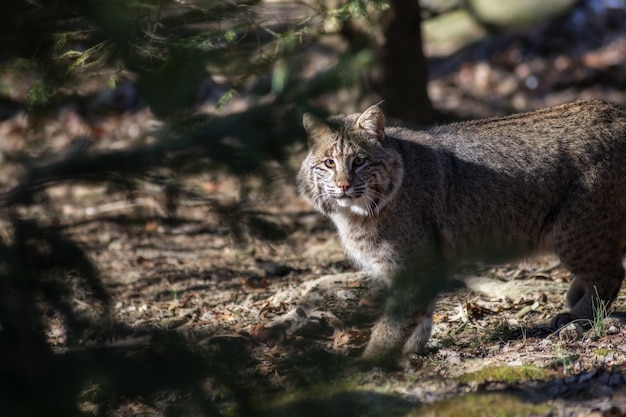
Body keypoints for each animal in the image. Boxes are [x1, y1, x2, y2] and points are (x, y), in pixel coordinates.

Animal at [294, 98, 624, 364]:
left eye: (360, 161)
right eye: (329, 163)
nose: (343, 186)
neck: (358, 212)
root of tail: (616, 110)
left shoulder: (415, 264)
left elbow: (394, 320)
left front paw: (370, 360)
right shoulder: (422, 264)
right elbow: (419, 313)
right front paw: (411, 349)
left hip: (574, 229)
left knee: (611, 274)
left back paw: (578, 316)